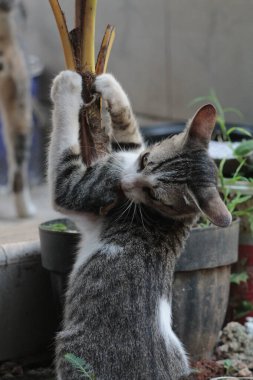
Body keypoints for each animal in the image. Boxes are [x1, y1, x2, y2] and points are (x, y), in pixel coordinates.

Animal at [48, 71, 232, 380]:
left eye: (153, 195)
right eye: (146, 161)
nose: (122, 184)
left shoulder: (76, 190)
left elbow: (64, 152)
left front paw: (68, 84)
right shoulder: (129, 155)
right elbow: (131, 134)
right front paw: (109, 86)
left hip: (69, 349)